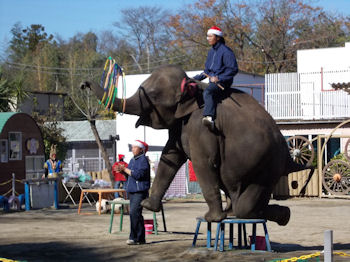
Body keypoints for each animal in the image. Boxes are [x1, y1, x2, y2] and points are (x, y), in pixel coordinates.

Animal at [81, 64, 312, 225]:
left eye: (153, 95)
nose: (83, 84)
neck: (193, 86)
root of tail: (288, 154)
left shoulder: (202, 126)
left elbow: (202, 163)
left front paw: (212, 219)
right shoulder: (180, 125)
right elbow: (170, 156)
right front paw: (148, 205)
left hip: (266, 167)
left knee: (246, 205)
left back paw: (274, 215)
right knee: (237, 195)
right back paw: (241, 213)